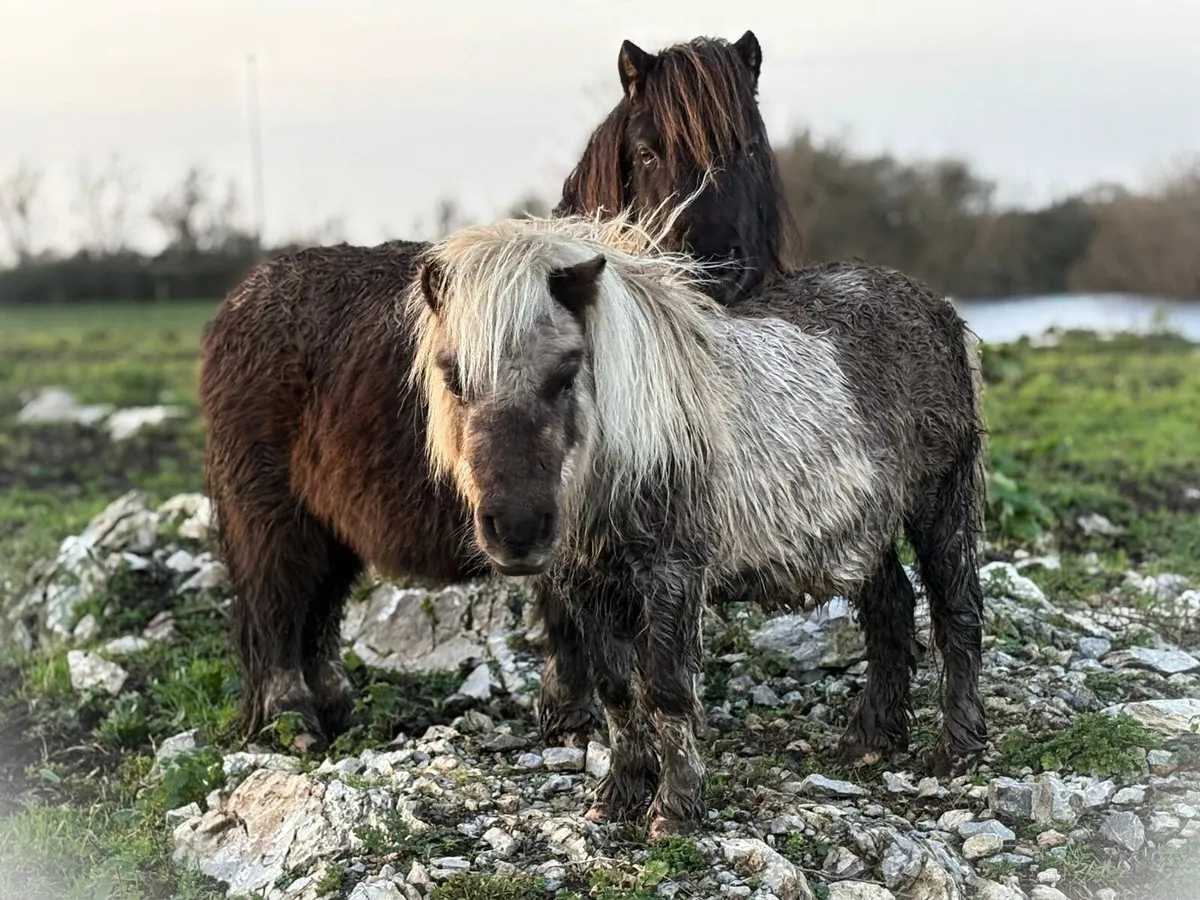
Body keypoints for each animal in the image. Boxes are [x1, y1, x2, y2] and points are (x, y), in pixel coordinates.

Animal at [199, 29, 797, 751]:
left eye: (749, 147)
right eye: (648, 150)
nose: (715, 267)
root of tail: (239, 303)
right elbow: (571, 616)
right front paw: (575, 718)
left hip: (330, 526)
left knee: (317, 614)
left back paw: (337, 712)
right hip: (271, 516)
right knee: (278, 611)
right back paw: (295, 722)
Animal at [408, 210, 989, 838]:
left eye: (565, 373)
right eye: (453, 378)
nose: (516, 530)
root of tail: (935, 306)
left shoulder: (671, 575)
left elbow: (666, 690)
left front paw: (676, 808)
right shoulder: (591, 585)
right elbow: (615, 689)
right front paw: (618, 795)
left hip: (939, 504)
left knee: (956, 611)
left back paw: (959, 748)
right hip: (859, 530)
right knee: (891, 610)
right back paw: (871, 739)